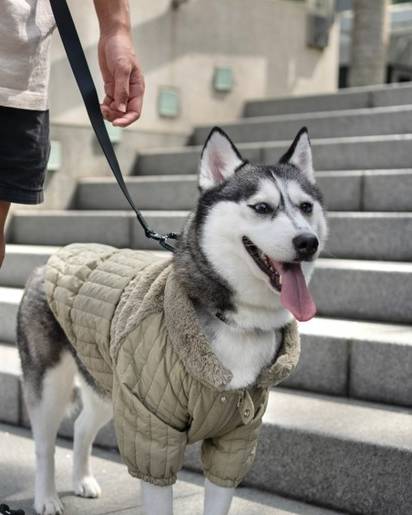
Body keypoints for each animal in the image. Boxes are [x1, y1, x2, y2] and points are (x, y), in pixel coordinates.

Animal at [17, 126, 328, 515]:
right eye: (262, 207)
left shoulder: (237, 435)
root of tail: (53, 257)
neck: (236, 321)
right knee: (44, 443)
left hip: (108, 384)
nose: (308, 242)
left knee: (82, 426)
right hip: (51, 383)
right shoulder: (152, 427)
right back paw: (46, 497)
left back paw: (82, 480)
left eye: (306, 207)